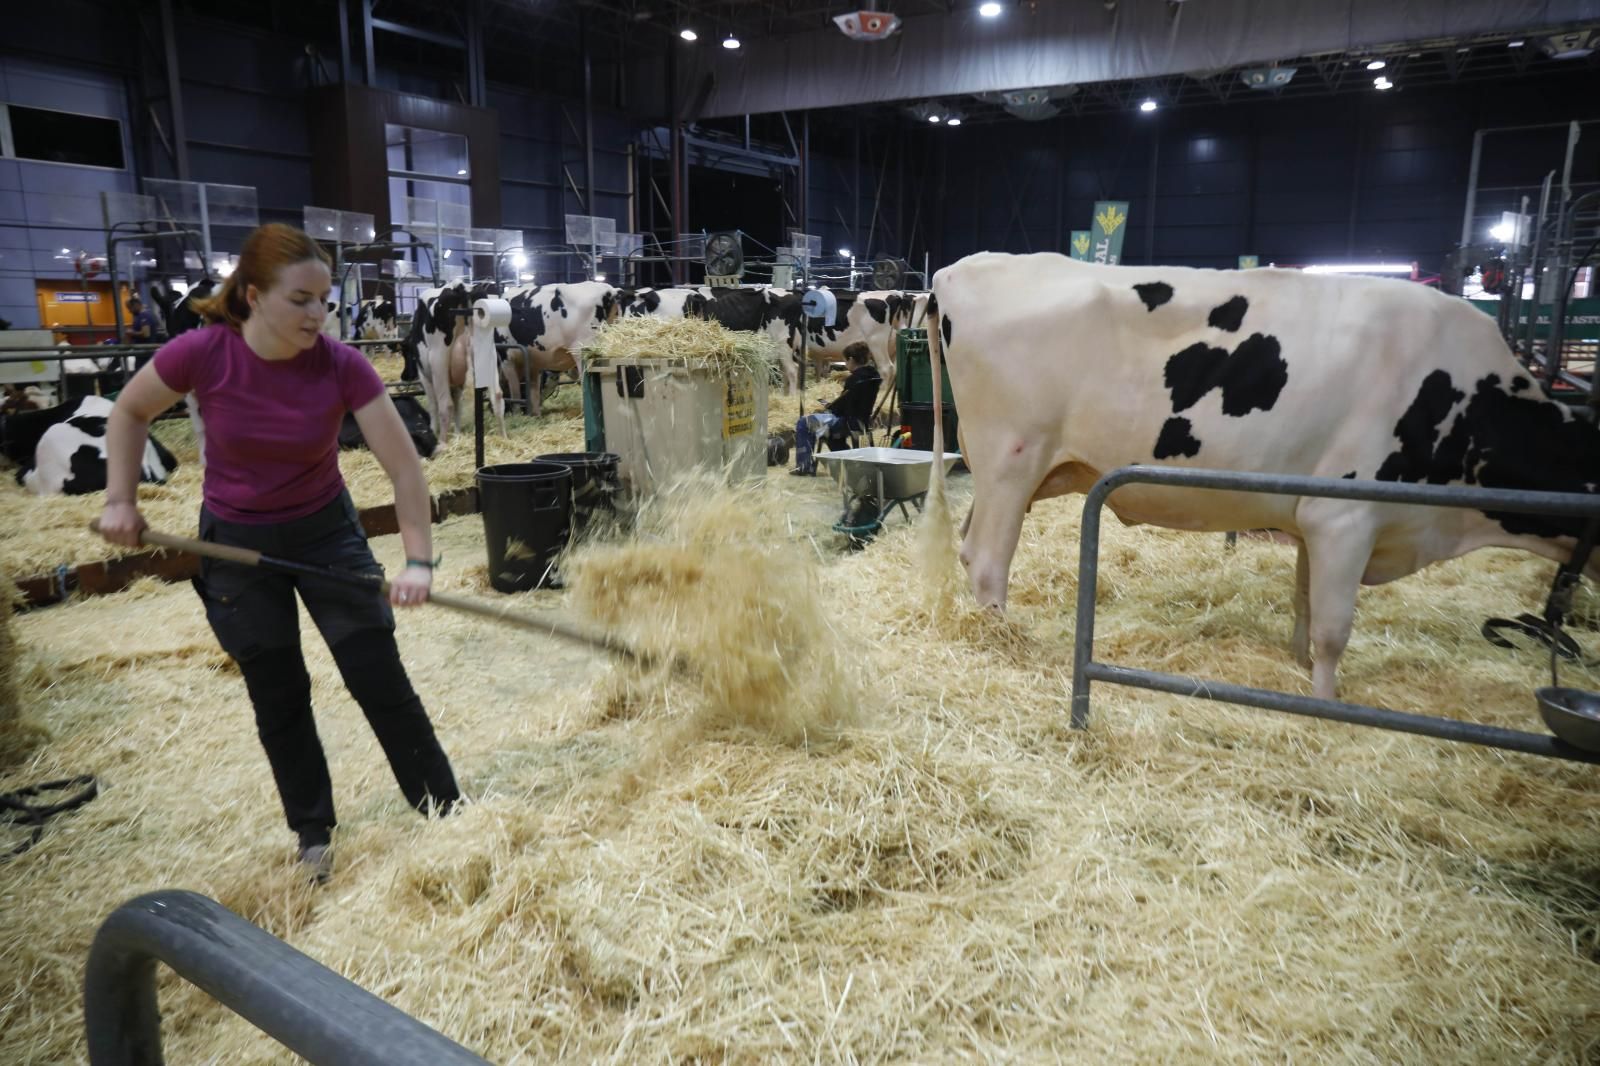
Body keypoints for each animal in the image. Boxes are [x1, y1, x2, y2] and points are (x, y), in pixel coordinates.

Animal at [928, 249, 1600, 697]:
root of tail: (961, 269)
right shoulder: (1347, 515)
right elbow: (1334, 627)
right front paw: (1327, 704)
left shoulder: (1315, 519)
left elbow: (1305, 601)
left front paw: (1297, 665)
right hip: (1011, 461)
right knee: (986, 562)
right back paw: (1002, 643)